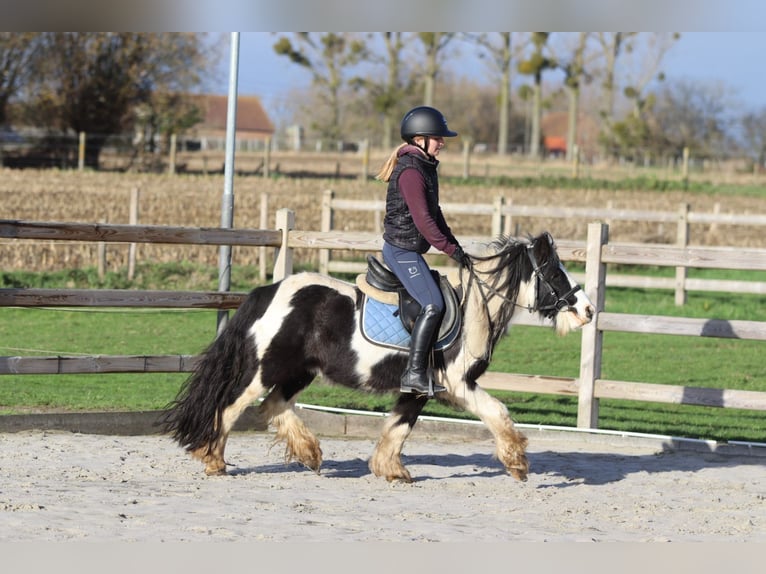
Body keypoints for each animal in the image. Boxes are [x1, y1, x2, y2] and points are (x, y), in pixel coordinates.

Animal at [161, 231, 594, 483]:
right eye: (556, 273)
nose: (588, 310)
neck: (475, 306)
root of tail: (267, 292)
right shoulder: (457, 384)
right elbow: (498, 412)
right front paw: (517, 463)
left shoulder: (420, 388)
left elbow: (399, 427)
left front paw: (390, 469)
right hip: (264, 371)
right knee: (232, 407)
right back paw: (213, 459)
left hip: (298, 372)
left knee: (273, 406)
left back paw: (310, 453)